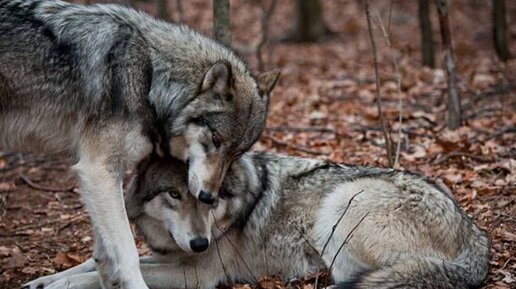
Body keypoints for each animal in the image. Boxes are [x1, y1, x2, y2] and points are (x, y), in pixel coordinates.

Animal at [0, 1, 280, 286]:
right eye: (215, 140)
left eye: (237, 153)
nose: (208, 196)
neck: (149, 78)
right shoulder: (98, 169)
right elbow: (127, 253)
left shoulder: (100, 176)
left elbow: (104, 253)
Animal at [25, 152, 492, 286]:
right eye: (175, 195)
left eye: (208, 197)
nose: (200, 243)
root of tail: (477, 235)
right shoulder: (170, 255)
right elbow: (93, 264)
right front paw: (43, 279)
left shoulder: (196, 274)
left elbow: (91, 277)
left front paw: (60, 286)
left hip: (340, 206)